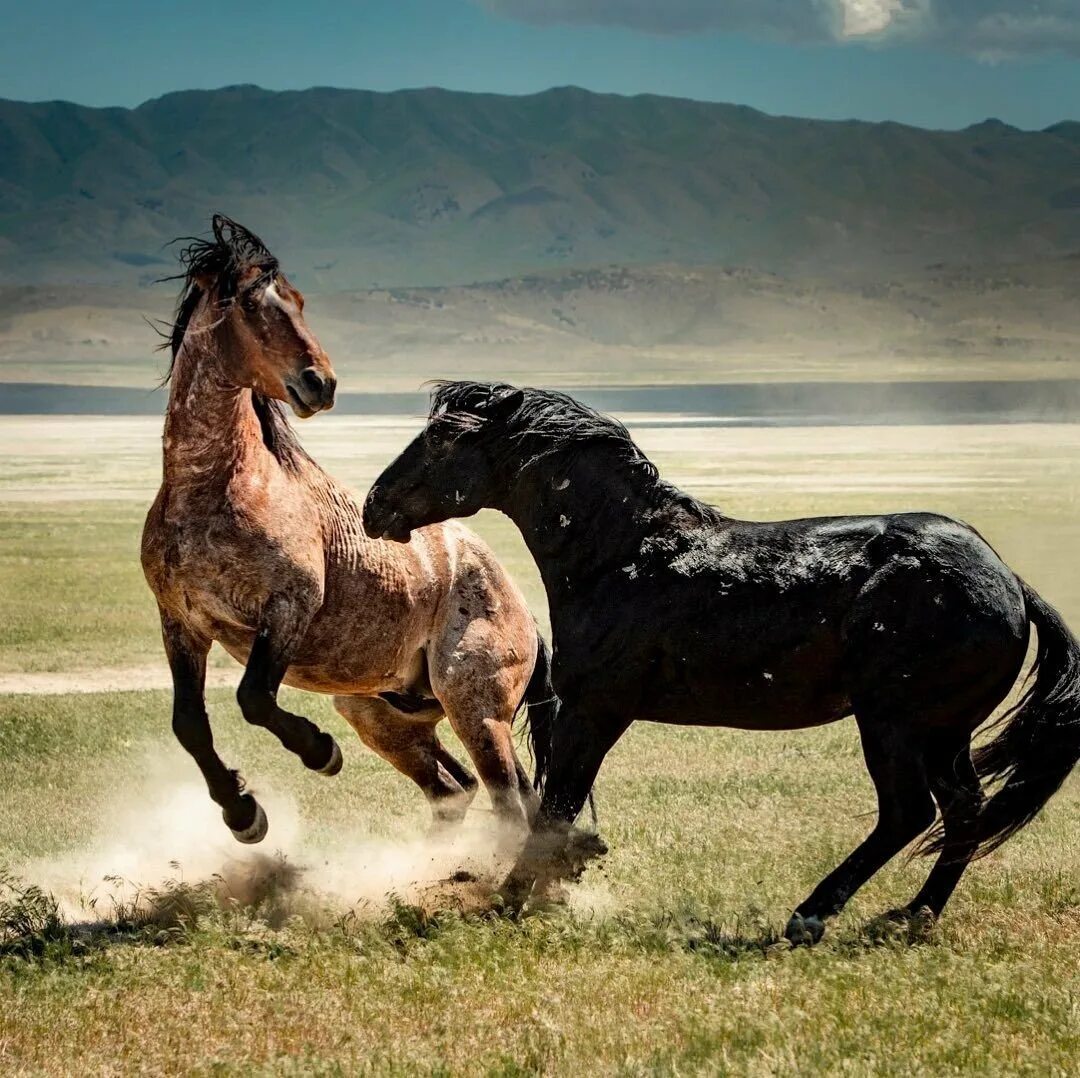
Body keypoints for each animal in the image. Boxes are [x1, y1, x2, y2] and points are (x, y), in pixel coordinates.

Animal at [142, 217, 548, 842]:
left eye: (299, 300)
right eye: (247, 304)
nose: (320, 383)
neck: (213, 491)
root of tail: (522, 608)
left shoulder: (289, 608)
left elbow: (254, 699)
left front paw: (319, 753)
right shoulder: (181, 623)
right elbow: (189, 724)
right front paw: (242, 813)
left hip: (474, 709)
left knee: (506, 799)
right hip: (381, 712)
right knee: (457, 789)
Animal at [362, 380, 1080, 946]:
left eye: (443, 438)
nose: (374, 505)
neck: (622, 555)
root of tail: (1010, 583)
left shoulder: (597, 709)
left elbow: (557, 807)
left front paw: (512, 897)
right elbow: (556, 805)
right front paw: (541, 890)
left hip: (895, 723)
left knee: (909, 813)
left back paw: (811, 917)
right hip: (942, 732)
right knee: (963, 809)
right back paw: (912, 917)